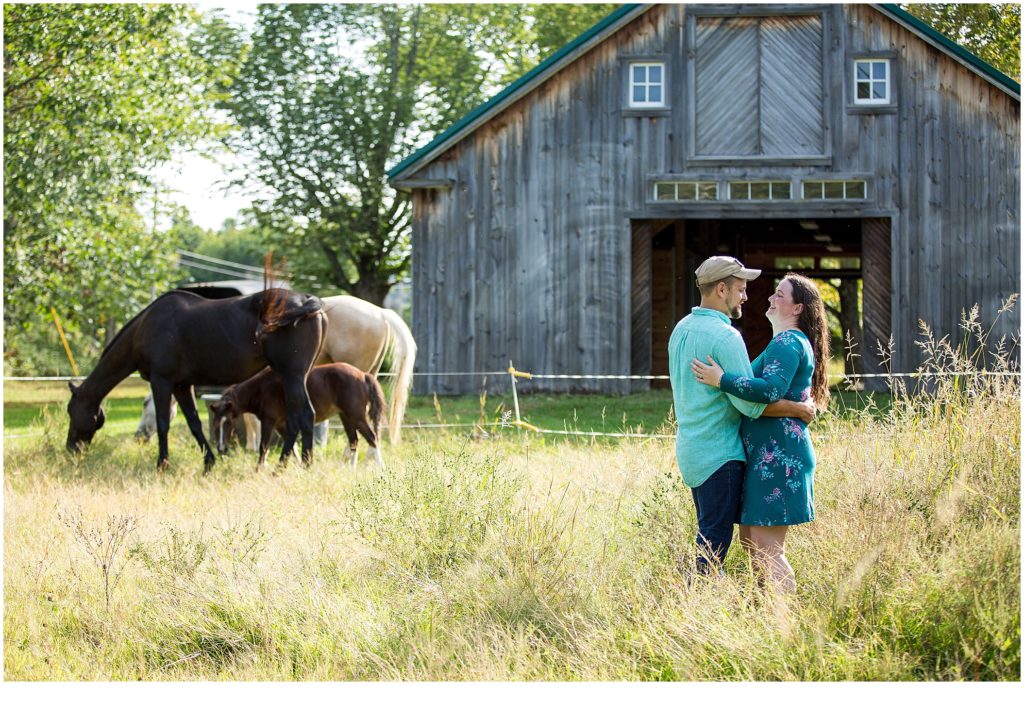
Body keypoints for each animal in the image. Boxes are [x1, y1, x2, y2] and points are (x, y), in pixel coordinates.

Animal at [64, 286, 325, 472]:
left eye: (71, 411)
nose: (71, 449)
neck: (145, 327)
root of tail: (309, 301)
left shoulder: (162, 382)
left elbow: (162, 423)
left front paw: (162, 464)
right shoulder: (181, 386)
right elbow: (194, 423)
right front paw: (208, 462)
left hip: (292, 376)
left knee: (303, 415)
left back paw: (297, 464)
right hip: (294, 378)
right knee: (297, 418)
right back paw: (291, 463)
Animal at [209, 360, 385, 470]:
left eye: (228, 423)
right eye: (216, 424)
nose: (221, 448)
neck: (261, 388)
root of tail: (363, 375)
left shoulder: (269, 422)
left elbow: (263, 447)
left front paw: (259, 469)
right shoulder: (281, 425)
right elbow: (292, 448)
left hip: (356, 416)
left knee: (372, 438)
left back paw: (380, 469)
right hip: (346, 417)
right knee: (354, 440)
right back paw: (349, 469)